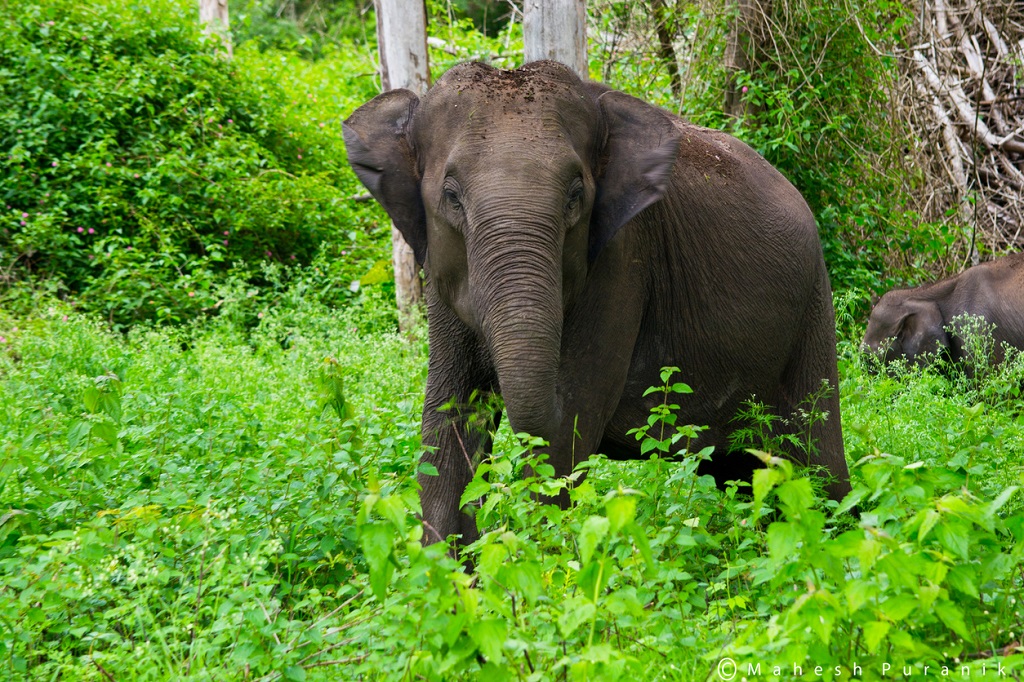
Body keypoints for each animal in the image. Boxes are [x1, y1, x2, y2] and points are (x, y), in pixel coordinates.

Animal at [342, 61, 847, 544]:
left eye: (576, 196)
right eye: (450, 197)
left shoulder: (621, 262)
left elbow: (569, 423)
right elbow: (447, 421)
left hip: (813, 308)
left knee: (820, 467)